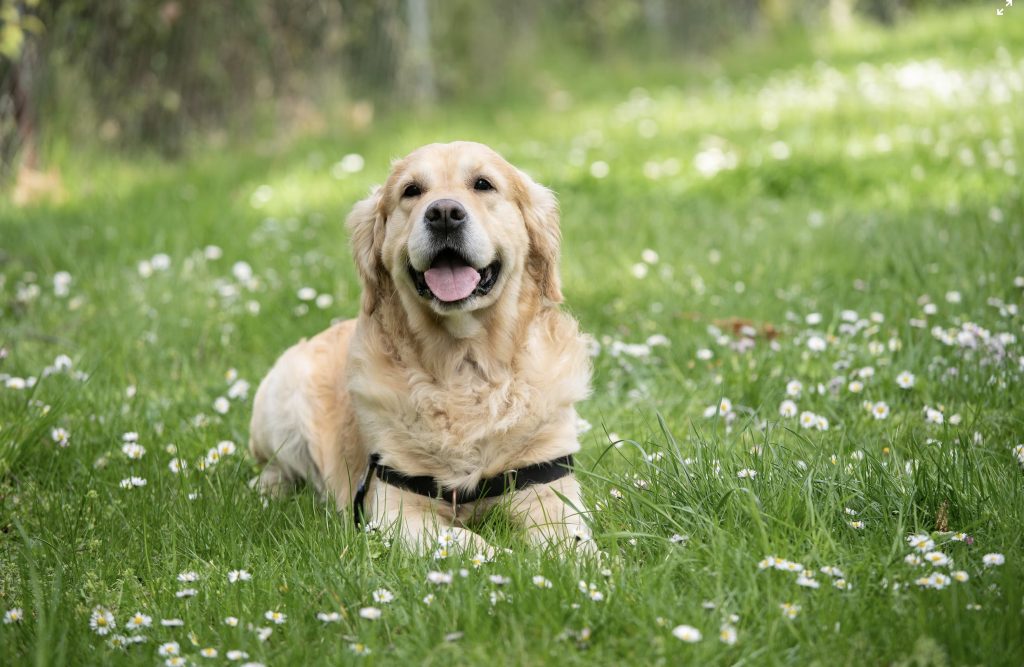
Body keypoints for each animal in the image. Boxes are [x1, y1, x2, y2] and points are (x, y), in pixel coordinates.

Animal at [248, 143, 598, 557]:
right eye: (411, 191)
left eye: (483, 184)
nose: (444, 213)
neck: (464, 365)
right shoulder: (396, 509)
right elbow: (469, 543)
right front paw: (506, 560)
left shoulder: (548, 488)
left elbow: (572, 543)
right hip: (280, 399)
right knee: (275, 467)